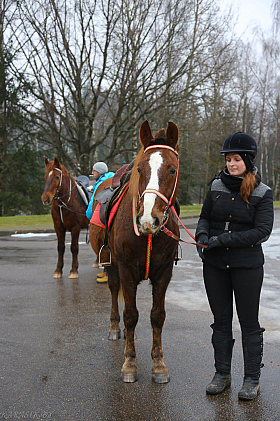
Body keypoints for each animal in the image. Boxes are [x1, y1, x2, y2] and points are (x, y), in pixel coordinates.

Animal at [89, 120, 179, 382]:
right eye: (140, 169)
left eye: (172, 170)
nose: (149, 219)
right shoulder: (126, 270)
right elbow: (130, 314)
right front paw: (129, 363)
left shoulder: (164, 272)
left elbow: (157, 315)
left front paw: (158, 364)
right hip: (110, 265)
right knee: (113, 292)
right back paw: (114, 328)